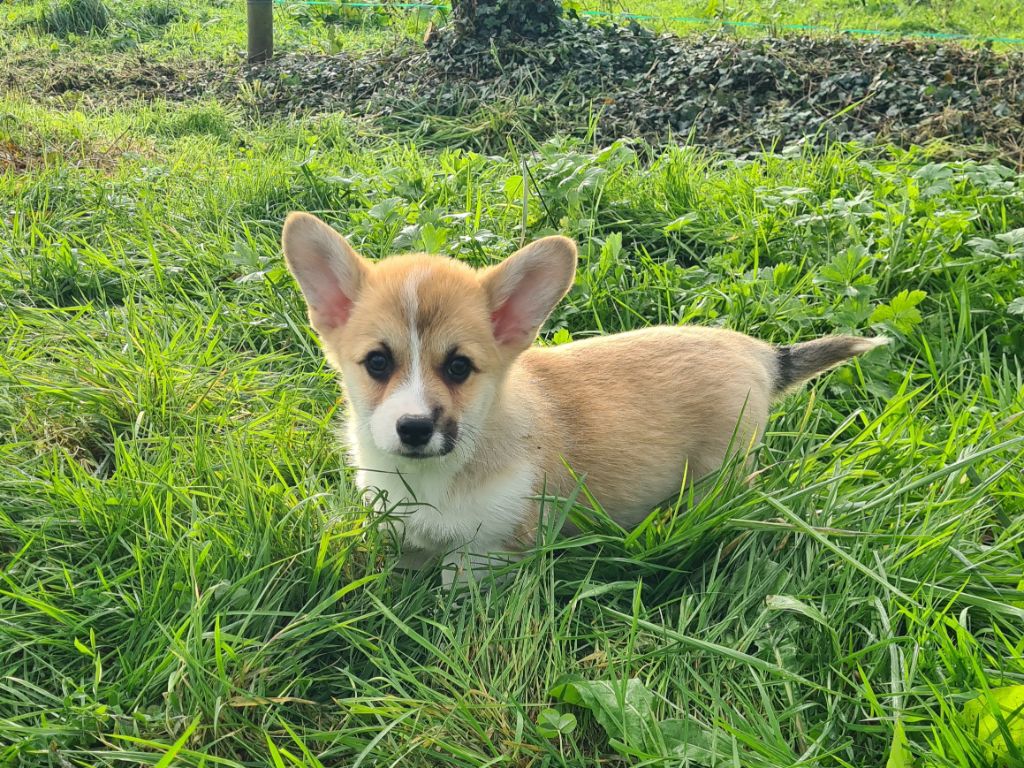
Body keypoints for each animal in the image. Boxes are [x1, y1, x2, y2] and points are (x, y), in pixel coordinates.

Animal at [282, 210, 888, 581]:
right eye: (378, 363)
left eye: (458, 368)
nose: (413, 429)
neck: (435, 476)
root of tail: (758, 353)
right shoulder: (404, 536)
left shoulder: (490, 551)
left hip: (721, 477)